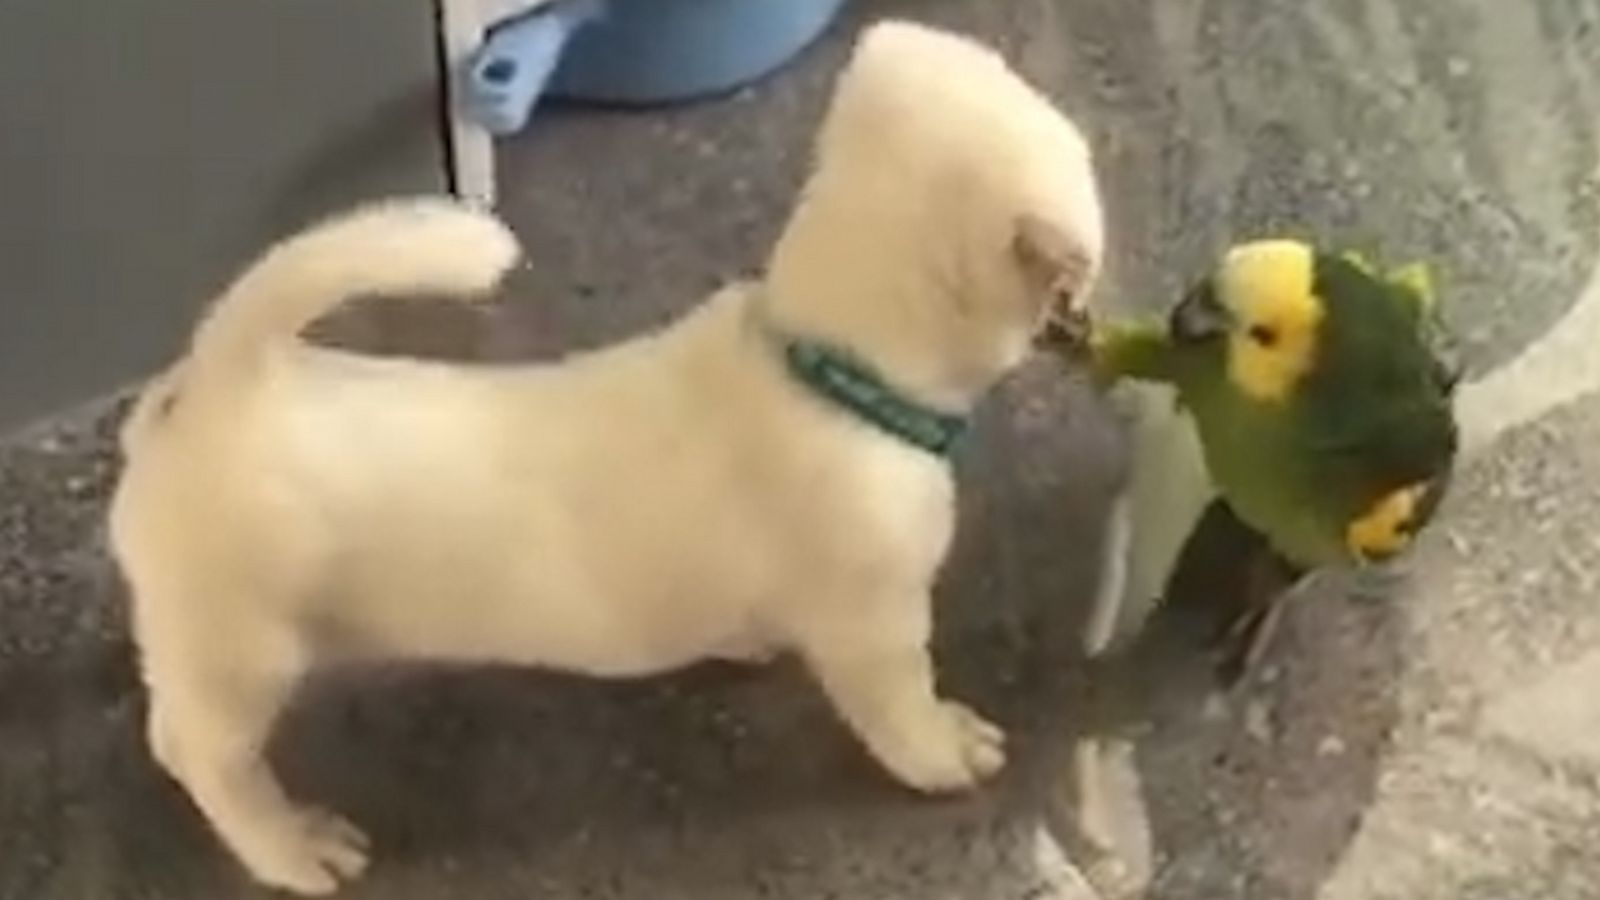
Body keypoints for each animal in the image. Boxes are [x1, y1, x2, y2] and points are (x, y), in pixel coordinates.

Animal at [109, 19, 1100, 890]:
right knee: (206, 757)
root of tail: (225, 382)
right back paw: (290, 847)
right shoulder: (875, 627)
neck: (824, 358)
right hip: (250, 658)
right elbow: (904, 711)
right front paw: (947, 750)